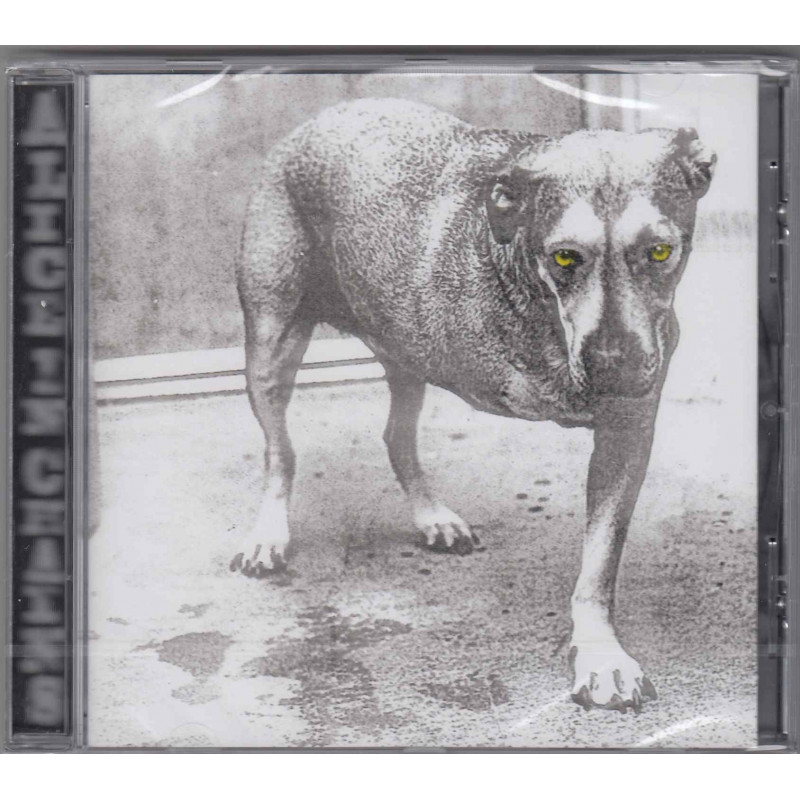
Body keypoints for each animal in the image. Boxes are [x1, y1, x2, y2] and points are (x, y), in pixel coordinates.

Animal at [231, 98, 716, 712]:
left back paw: (432, 516)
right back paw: (268, 533)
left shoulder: (626, 435)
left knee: (396, 437)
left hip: (406, 352)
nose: (616, 368)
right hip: (272, 346)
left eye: (659, 251)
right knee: (281, 450)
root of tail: (326, 115)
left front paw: (599, 651)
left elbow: (600, 561)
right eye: (565, 257)